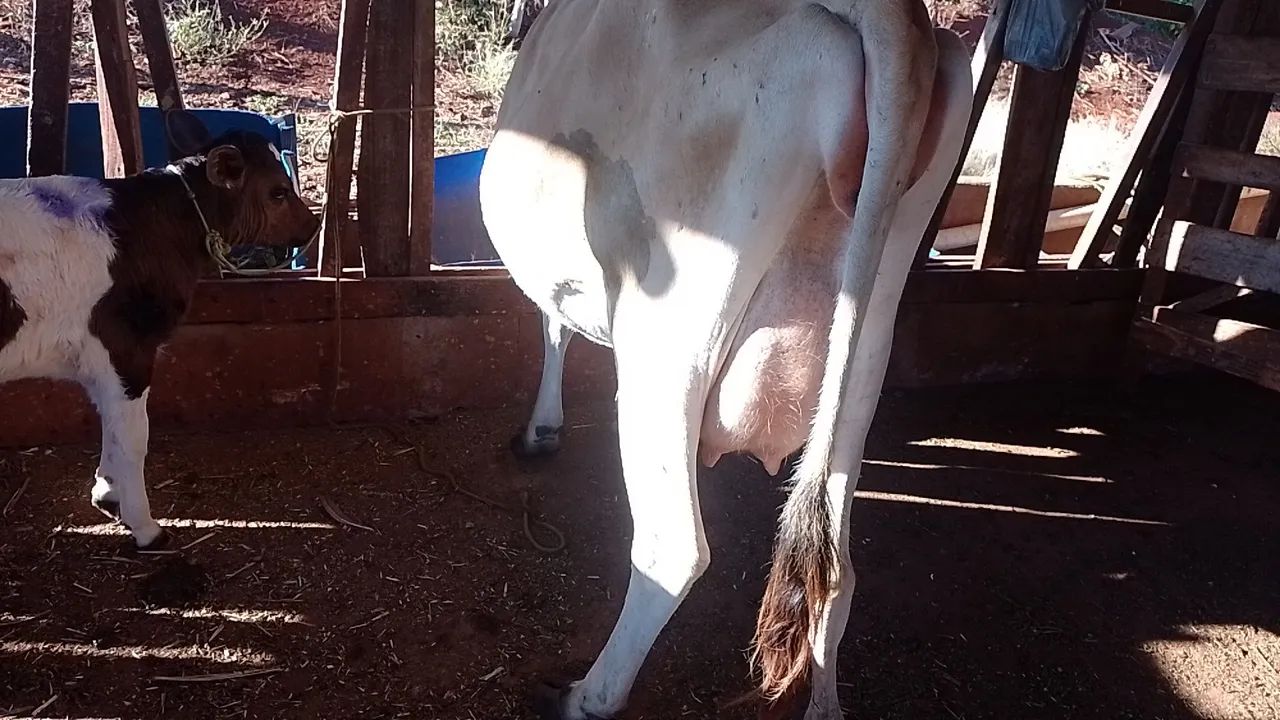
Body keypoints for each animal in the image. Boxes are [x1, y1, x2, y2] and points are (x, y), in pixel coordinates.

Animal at [0, 110, 320, 549]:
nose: (314, 225)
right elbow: (134, 437)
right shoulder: (128, 346)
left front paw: (107, 492)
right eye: (278, 192)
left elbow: (111, 424)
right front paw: (146, 527)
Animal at [479, 0, 974, 717]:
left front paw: (541, 429)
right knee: (836, 568)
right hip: (868, 342)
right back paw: (823, 702)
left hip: (665, 347)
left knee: (673, 549)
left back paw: (583, 696)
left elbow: (552, 323)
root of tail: (889, 16)